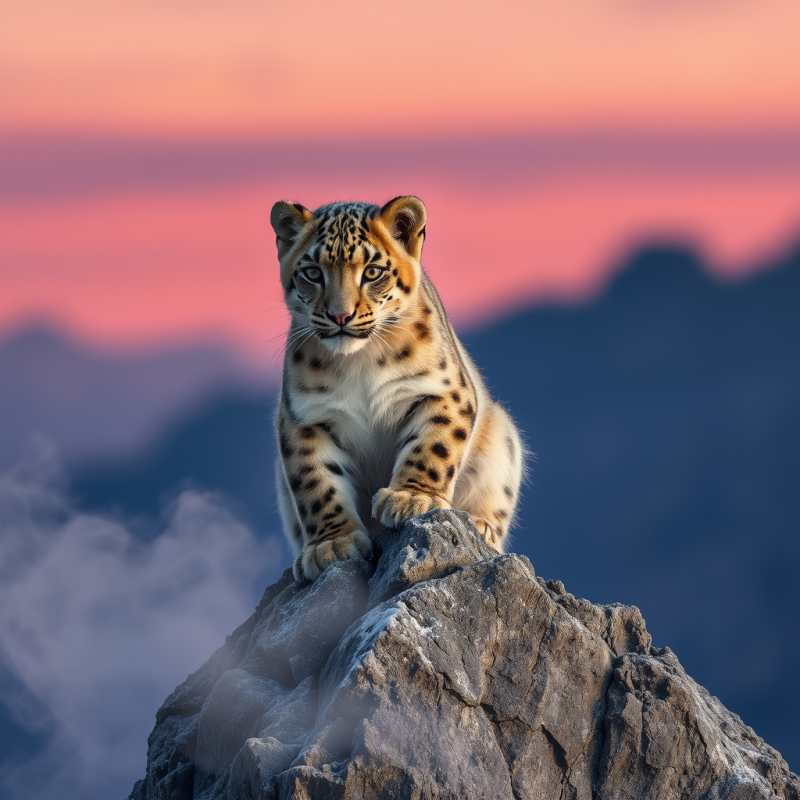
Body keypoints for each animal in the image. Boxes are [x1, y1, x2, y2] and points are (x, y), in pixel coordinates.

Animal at [270, 196, 525, 581]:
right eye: (313, 272)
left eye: (372, 271)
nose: (340, 316)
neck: (358, 362)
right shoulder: (303, 418)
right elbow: (315, 482)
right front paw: (332, 544)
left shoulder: (442, 391)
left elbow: (432, 447)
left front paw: (411, 499)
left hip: (502, 440)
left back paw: (481, 526)